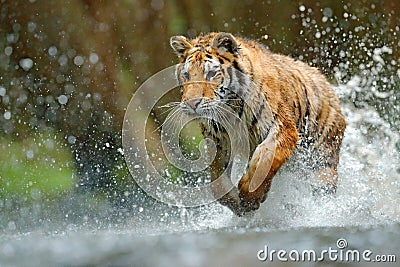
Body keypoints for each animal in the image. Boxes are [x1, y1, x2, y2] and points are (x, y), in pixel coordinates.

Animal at [167, 32, 346, 217]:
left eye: (211, 74)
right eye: (186, 75)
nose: (192, 104)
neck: (231, 107)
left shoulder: (283, 127)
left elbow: (266, 156)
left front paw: (250, 196)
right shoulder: (219, 142)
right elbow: (218, 185)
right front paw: (238, 204)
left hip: (323, 162)